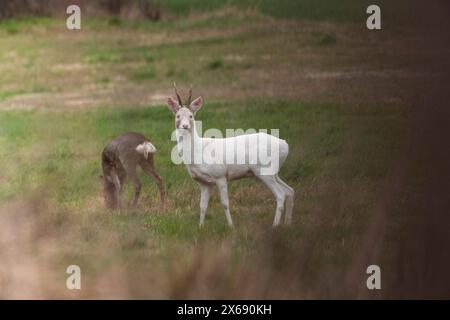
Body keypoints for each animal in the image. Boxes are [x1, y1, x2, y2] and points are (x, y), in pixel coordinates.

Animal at [167, 84, 294, 226]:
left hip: (264, 170)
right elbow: (202, 206)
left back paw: (275, 225)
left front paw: (231, 226)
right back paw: (287, 224)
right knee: (290, 191)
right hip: (273, 172)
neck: (198, 151)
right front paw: (201, 227)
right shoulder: (204, 183)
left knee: (281, 194)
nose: (185, 126)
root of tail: (285, 145)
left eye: (191, 116)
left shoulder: (220, 175)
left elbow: (225, 204)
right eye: (177, 116)